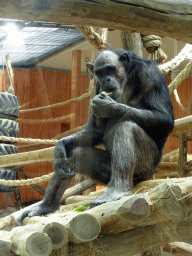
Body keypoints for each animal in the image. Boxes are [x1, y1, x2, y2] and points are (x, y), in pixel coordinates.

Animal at [16, 49, 174, 225]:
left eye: (110, 69)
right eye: (100, 72)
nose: (106, 79)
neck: (126, 77)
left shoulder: (150, 75)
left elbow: (164, 117)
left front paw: (109, 106)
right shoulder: (98, 87)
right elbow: (96, 130)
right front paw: (60, 146)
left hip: (145, 168)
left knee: (126, 128)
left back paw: (116, 190)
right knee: (75, 155)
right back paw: (45, 206)